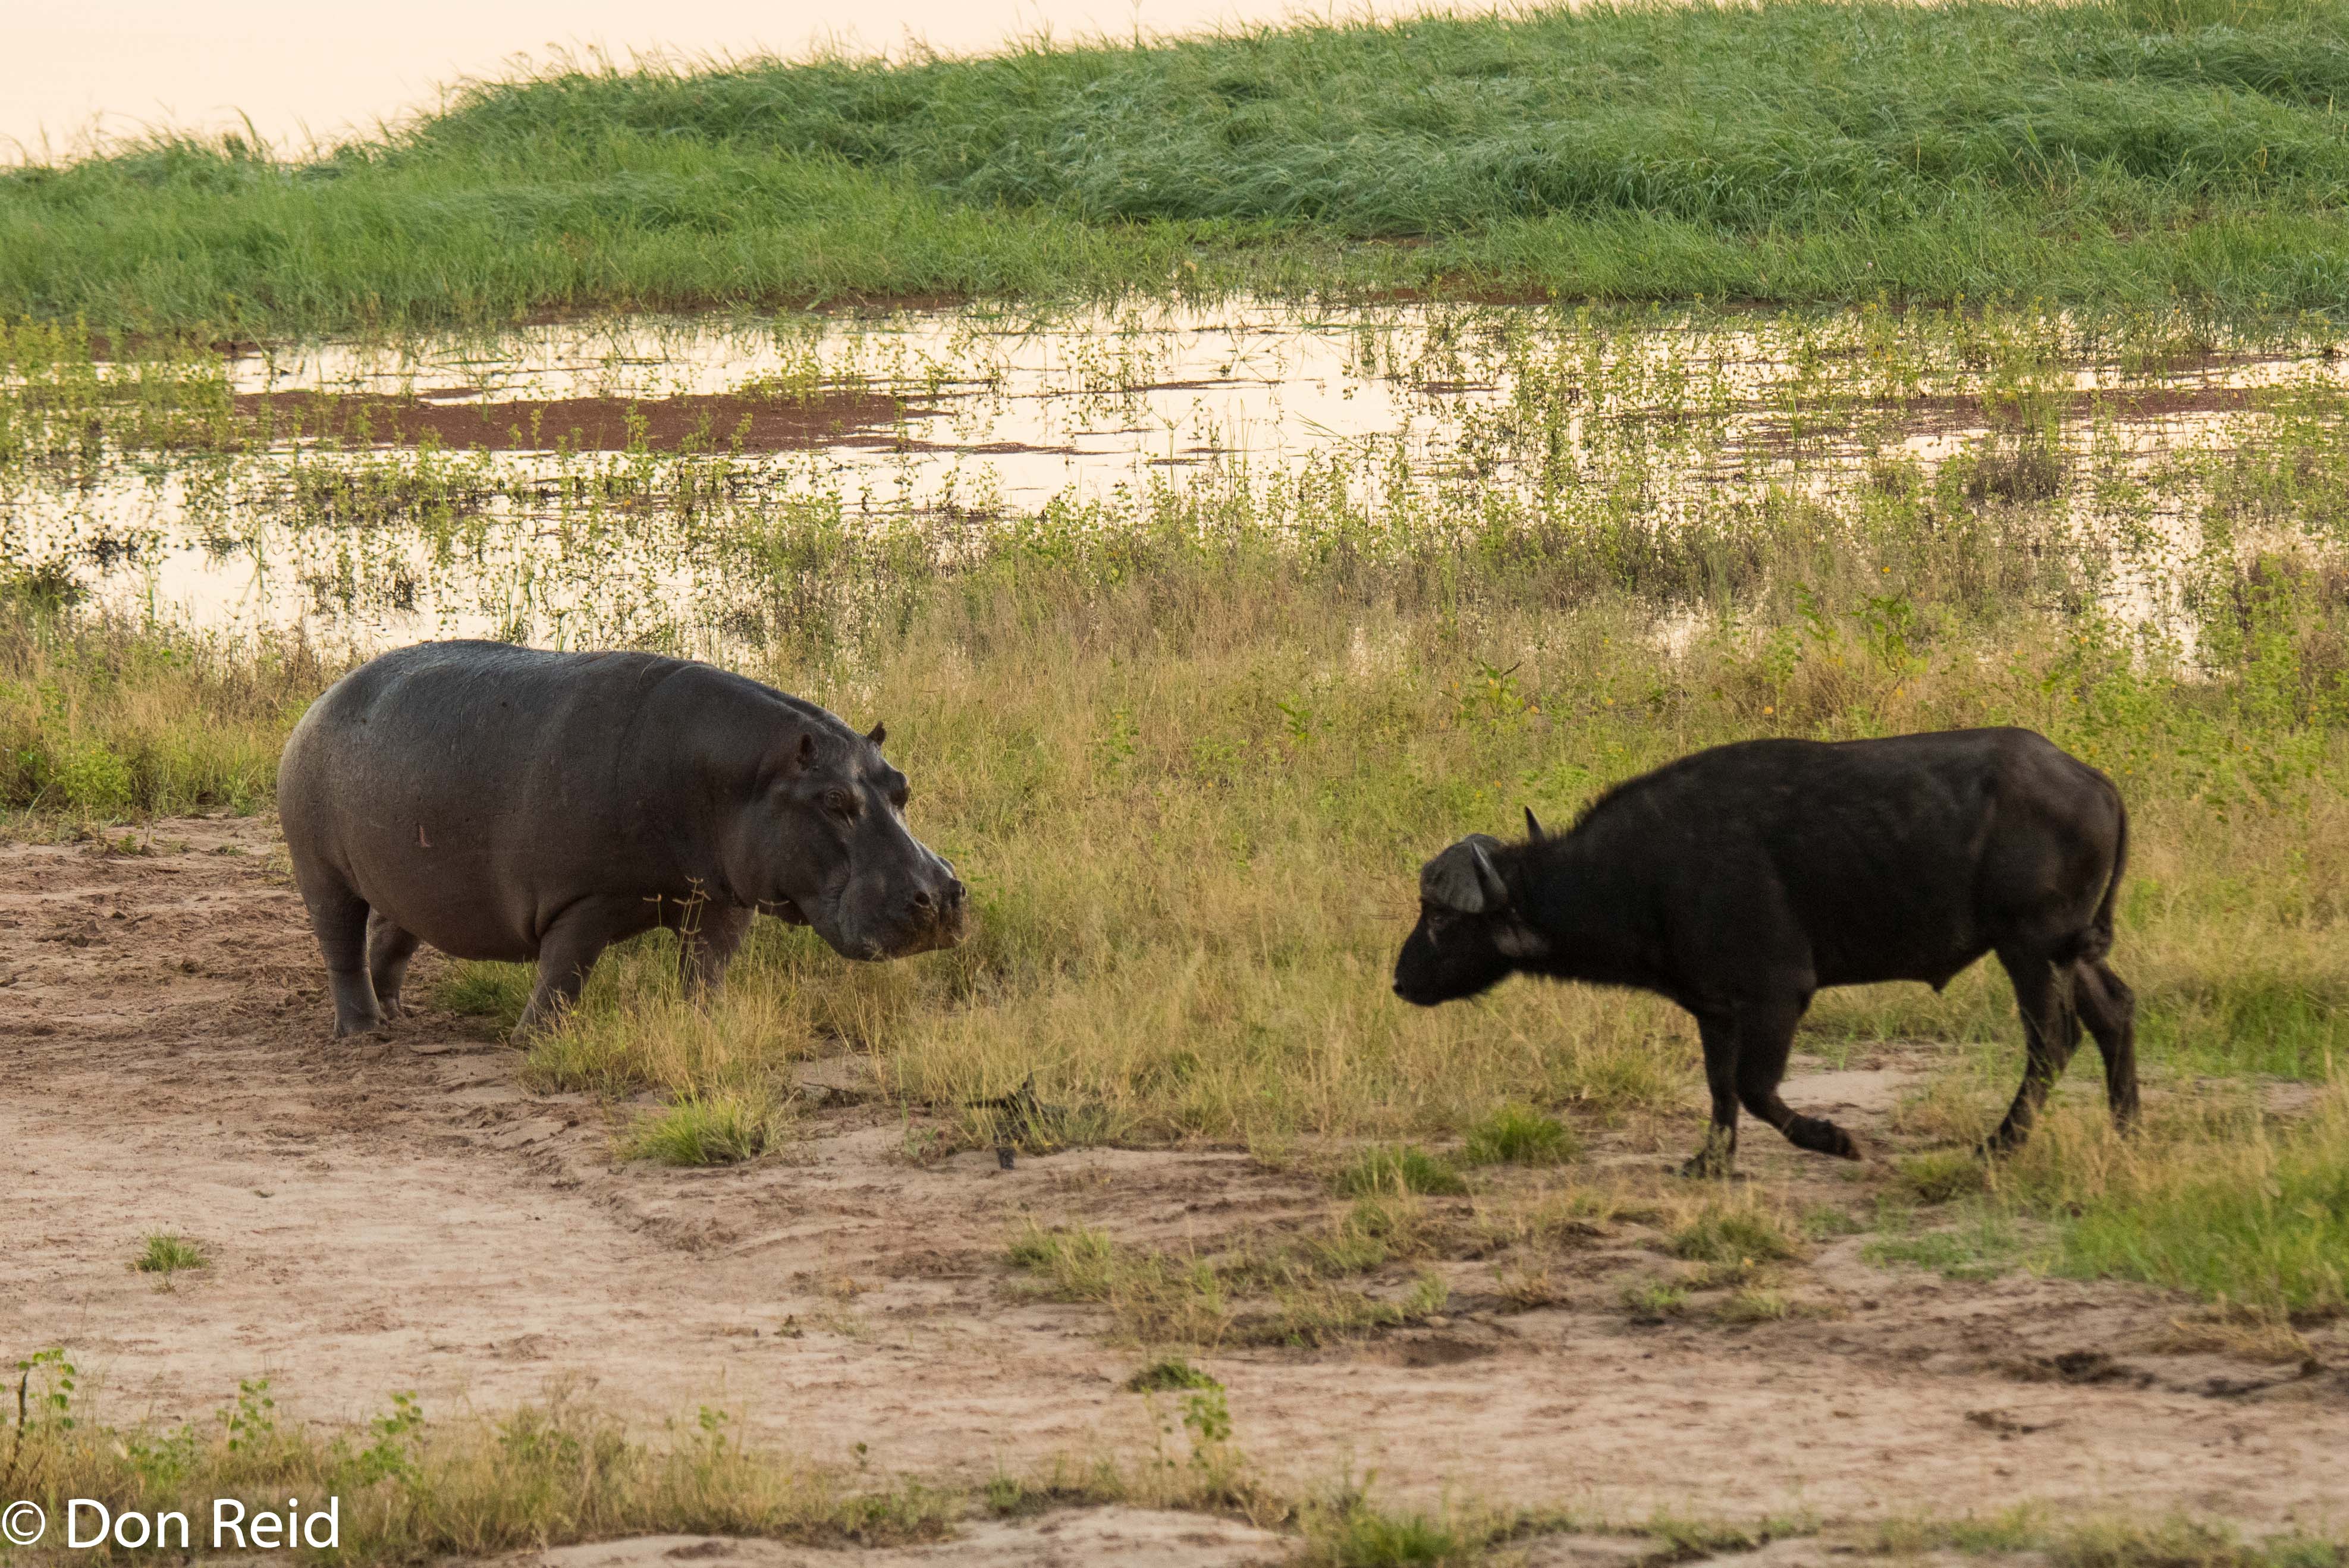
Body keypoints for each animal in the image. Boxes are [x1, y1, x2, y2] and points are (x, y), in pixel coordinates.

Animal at [278, 640, 967, 1040]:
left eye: (902, 785)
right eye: (833, 801)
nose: (941, 896)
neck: (740, 774)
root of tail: (321, 701)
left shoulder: (720, 898)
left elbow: (706, 970)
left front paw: (705, 1027)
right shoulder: (583, 900)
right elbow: (564, 973)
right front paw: (536, 1040)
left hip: (411, 878)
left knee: (392, 936)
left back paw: (396, 1014)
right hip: (322, 872)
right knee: (341, 945)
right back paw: (364, 1031)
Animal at [1393, 728, 2135, 1175]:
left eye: (1440, 918)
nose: (1399, 981)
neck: (1641, 869)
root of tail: (2097, 783)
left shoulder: (1779, 994)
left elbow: (1754, 1089)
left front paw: (1833, 1139)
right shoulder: (1713, 1008)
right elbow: (1720, 1088)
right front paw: (1709, 1163)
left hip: (2029, 948)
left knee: (2052, 1041)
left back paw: (1998, 1146)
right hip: (2067, 952)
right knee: (2113, 1013)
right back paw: (2124, 1128)